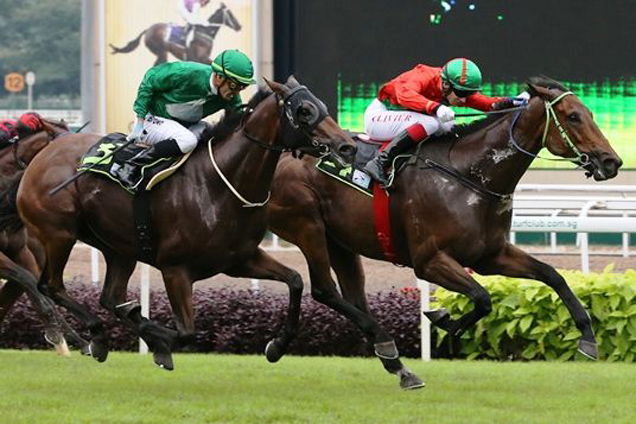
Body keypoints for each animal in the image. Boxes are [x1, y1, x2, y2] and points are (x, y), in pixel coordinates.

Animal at [0, 76, 358, 372]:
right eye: (304, 110)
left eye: (323, 106)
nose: (348, 145)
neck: (220, 183)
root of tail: (43, 156)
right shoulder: (175, 269)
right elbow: (186, 332)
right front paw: (156, 340)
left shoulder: (240, 259)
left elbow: (295, 281)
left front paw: (277, 345)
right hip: (59, 232)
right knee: (51, 286)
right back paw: (97, 336)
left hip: (119, 247)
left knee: (108, 296)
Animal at [108, 2, 241, 65]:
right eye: (230, 14)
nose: (240, 27)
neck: (205, 32)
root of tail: (148, 29)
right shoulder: (201, 58)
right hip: (161, 52)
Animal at [268, 78, 620, 390]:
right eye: (573, 116)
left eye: (590, 112)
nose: (611, 161)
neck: (468, 175)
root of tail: (280, 154)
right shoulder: (429, 261)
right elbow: (482, 298)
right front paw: (444, 320)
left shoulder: (490, 255)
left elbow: (552, 275)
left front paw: (588, 338)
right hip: (306, 226)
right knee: (322, 290)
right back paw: (281, 345)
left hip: (340, 241)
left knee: (352, 297)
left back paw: (395, 363)